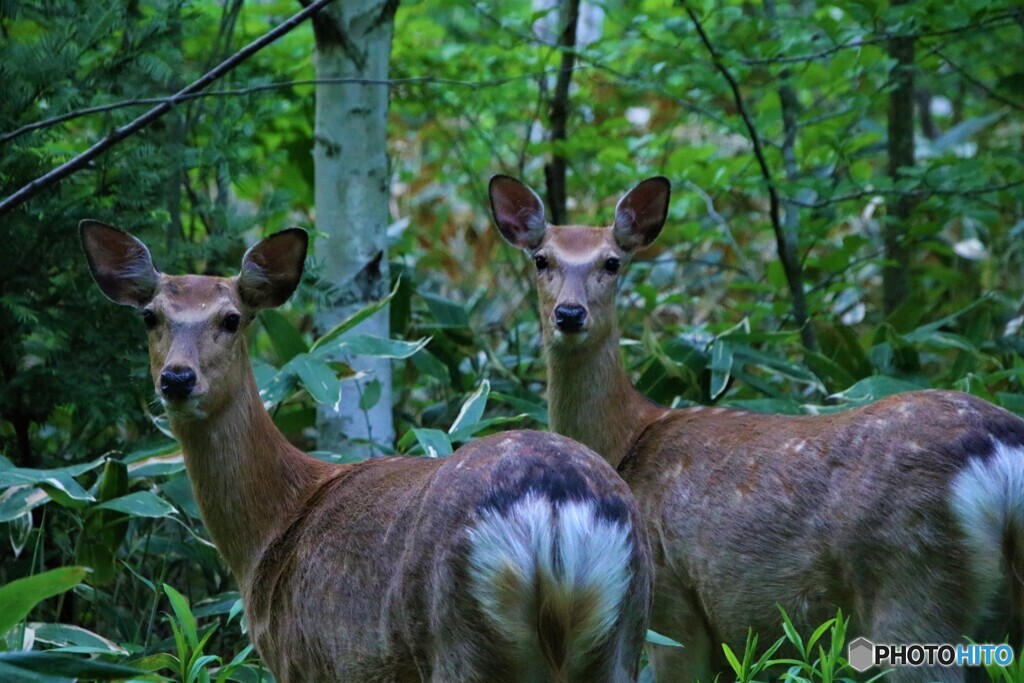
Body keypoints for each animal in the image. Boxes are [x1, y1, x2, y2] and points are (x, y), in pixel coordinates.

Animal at [81, 222, 655, 679]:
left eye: (231, 318)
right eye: (150, 316)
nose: (177, 378)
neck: (273, 525)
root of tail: (554, 506)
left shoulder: (302, 660)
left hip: (460, 643)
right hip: (622, 637)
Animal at [485, 176, 1024, 683]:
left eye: (612, 262)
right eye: (541, 259)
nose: (569, 313)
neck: (630, 438)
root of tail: (1000, 455)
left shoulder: (672, 602)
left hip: (911, 582)